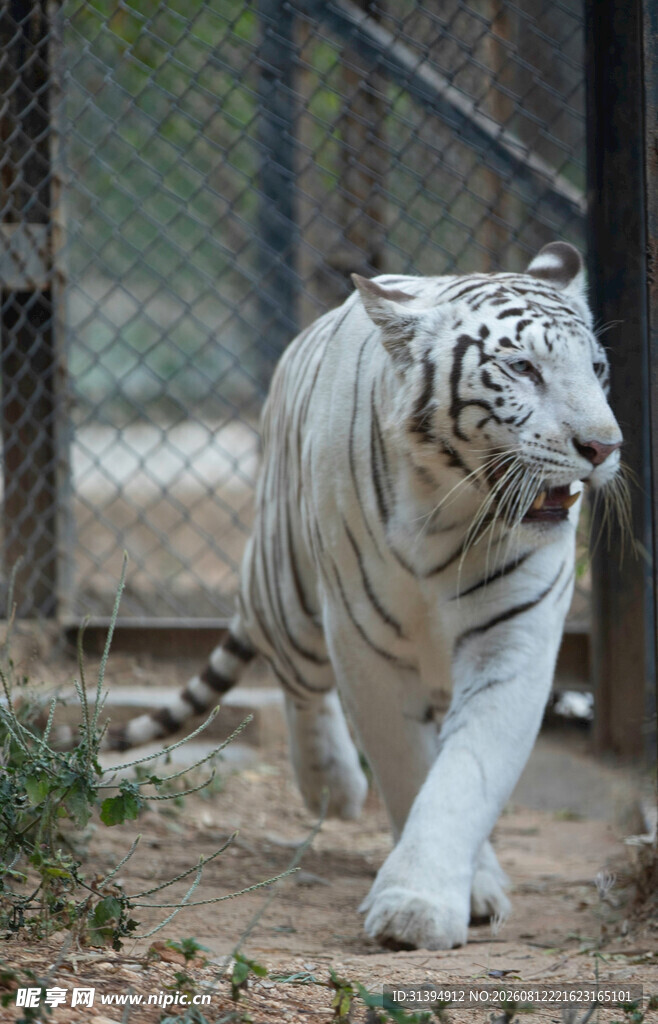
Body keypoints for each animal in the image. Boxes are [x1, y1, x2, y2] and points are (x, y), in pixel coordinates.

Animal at [110, 241, 624, 950]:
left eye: (596, 368)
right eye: (522, 367)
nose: (604, 447)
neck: (453, 512)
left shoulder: (513, 639)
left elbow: (466, 772)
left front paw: (427, 900)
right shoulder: (365, 643)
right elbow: (408, 767)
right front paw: (419, 907)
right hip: (288, 591)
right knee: (297, 680)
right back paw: (330, 782)